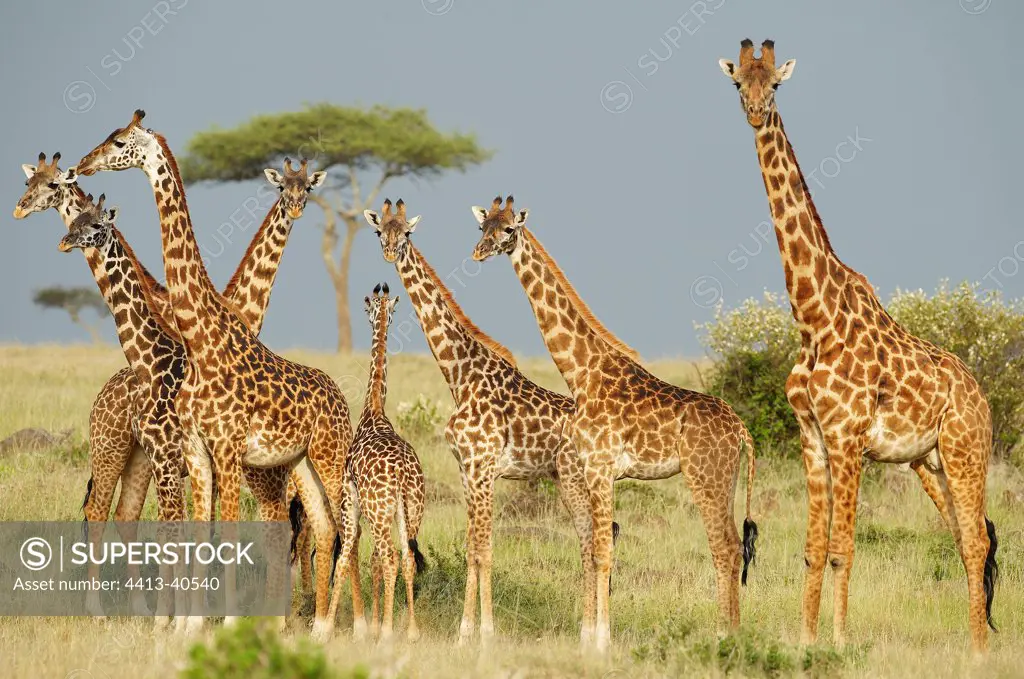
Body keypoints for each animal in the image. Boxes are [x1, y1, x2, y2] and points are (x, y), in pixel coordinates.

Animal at [362, 197, 598, 647]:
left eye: (407, 233)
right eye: (380, 230)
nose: (388, 253)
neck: (460, 375)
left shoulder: (484, 468)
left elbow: (486, 549)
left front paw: (487, 633)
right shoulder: (466, 469)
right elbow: (472, 547)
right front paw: (463, 632)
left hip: (577, 481)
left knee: (594, 540)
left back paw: (590, 635)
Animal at [475, 196, 757, 655]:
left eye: (509, 230)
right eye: (482, 227)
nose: (479, 252)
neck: (582, 372)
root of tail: (742, 432)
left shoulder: (600, 467)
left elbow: (602, 551)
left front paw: (602, 641)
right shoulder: (594, 469)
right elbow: (596, 549)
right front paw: (593, 638)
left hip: (705, 477)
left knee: (726, 548)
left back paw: (724, 636)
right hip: (726, 478)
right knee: (733, 547)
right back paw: (731, 634)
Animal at [716, 38, 995, 655]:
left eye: (775, 84)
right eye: (738, 83)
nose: (755, 112)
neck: (813, 319)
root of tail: (983, 398)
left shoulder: (848, 440)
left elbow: (844, 550)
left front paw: (840, 644)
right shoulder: (813, 439)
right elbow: (812, 551)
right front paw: (805, 640)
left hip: (967, 453)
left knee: (977, 542)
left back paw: (978, 650)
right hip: (930, 463)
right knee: (966, 539)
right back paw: (975, 643)